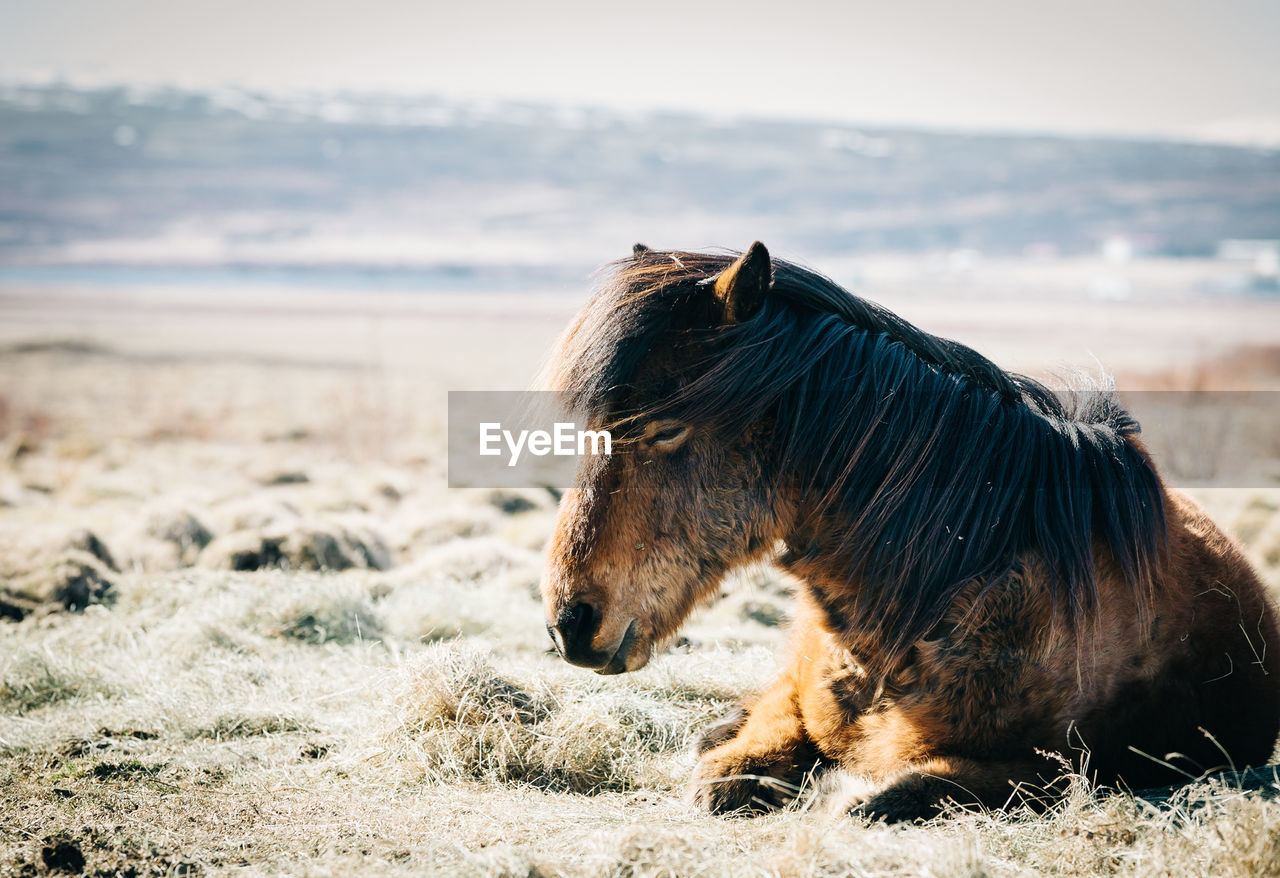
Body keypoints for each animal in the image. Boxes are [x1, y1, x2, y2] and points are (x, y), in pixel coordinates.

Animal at [535, 244, 1274, 824]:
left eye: (666, 427)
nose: (571, 623)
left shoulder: (1062, 769)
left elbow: (894, 795)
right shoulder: (795, 702)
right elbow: (732, 767)